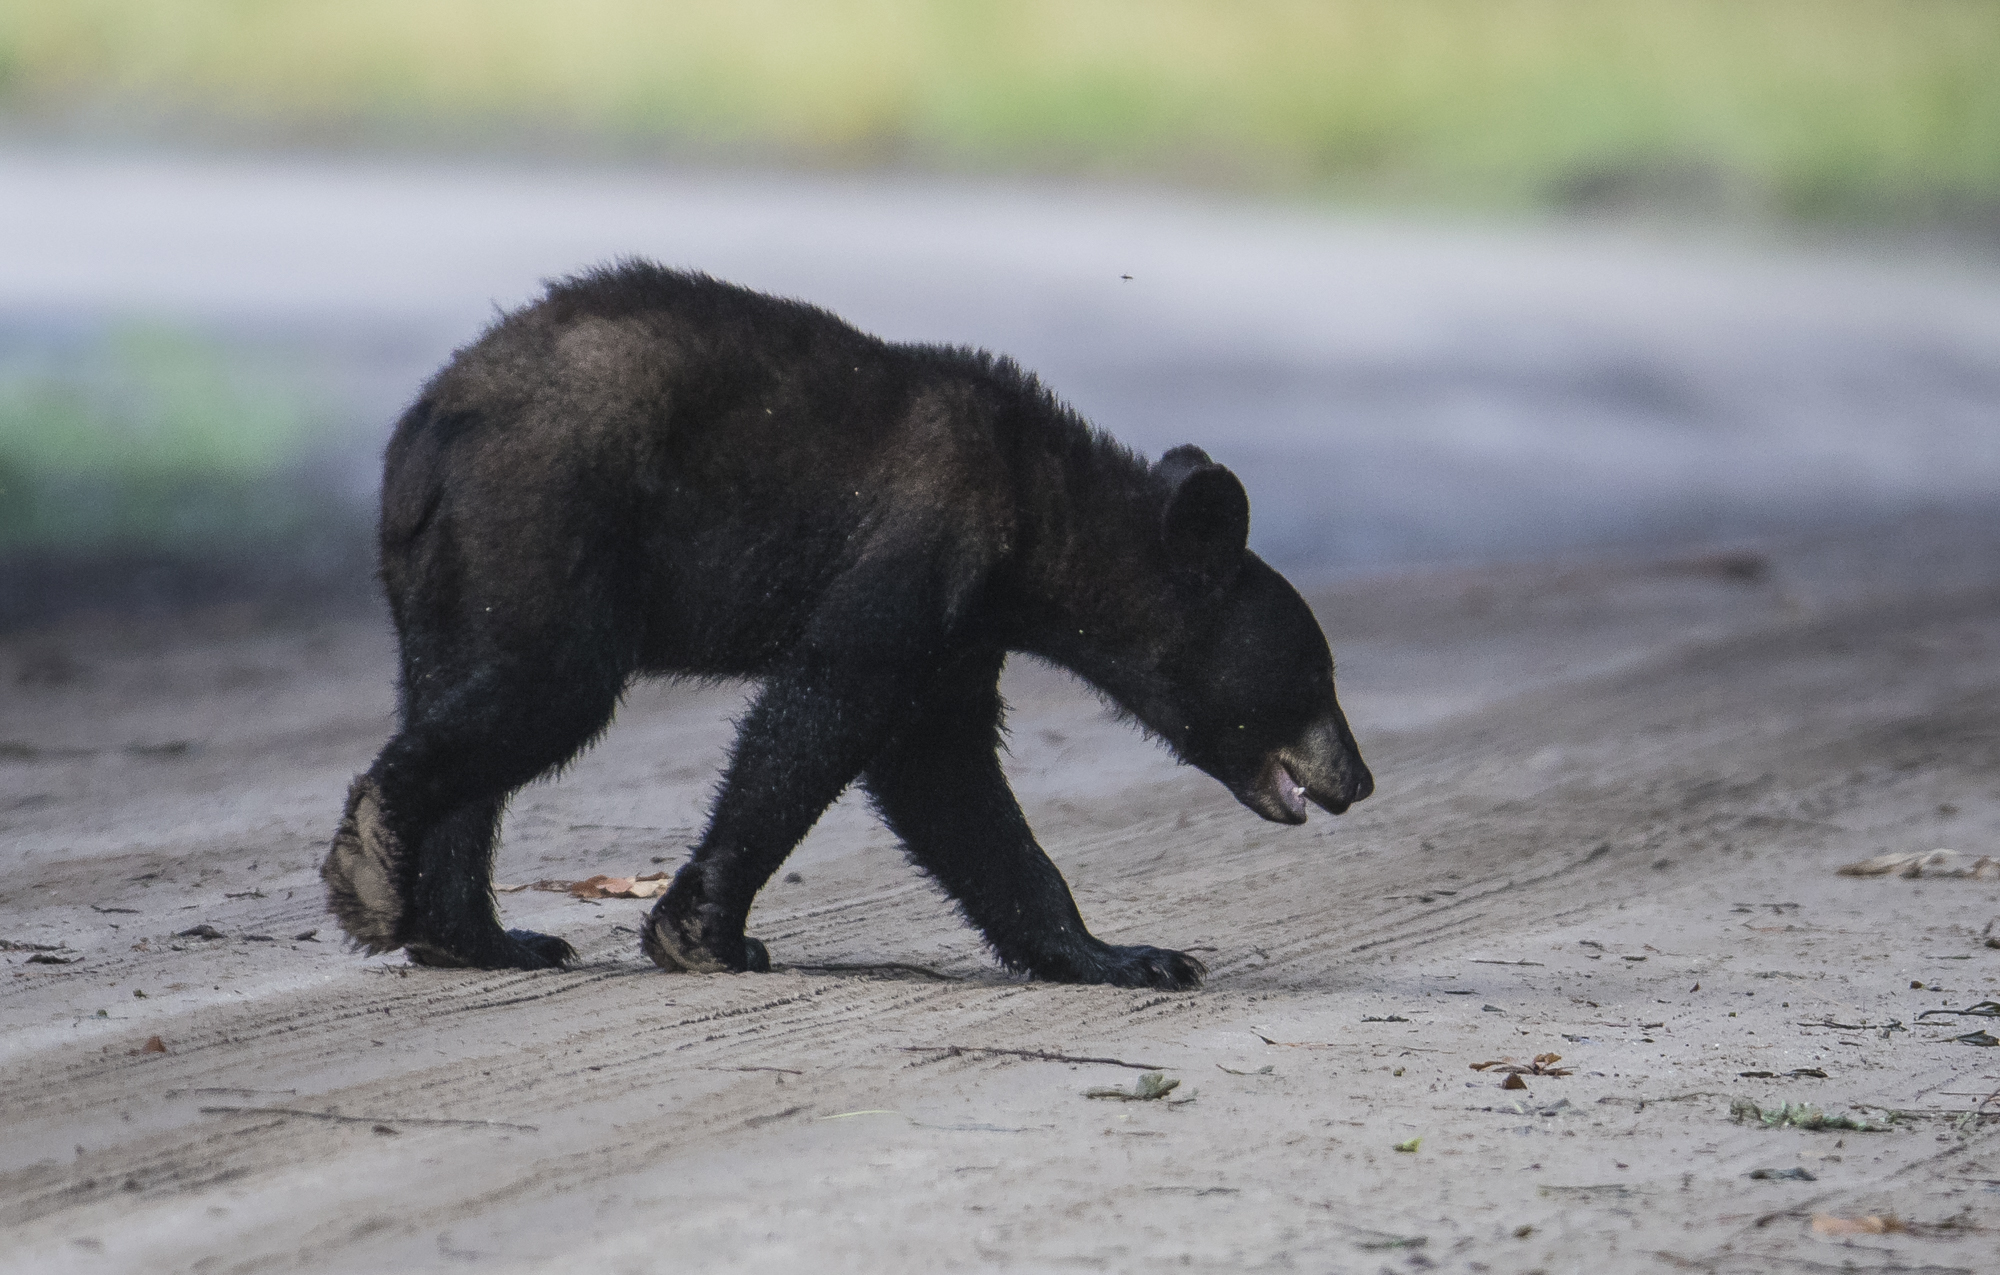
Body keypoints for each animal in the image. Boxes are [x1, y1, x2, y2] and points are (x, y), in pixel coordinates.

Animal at [322, 262, 1372, 990]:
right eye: (1317, 674)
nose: (1357, 778)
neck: (1042, 518)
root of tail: (427, 430)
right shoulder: (926, 539)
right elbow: (833, 701)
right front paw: (706, 932)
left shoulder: (964, 630)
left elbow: (946, 776)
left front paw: (1125, 954)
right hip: (547, 517)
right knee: (545, 688)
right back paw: (374, 868)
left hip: (450, 575)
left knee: (465, 696)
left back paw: (478, 934)